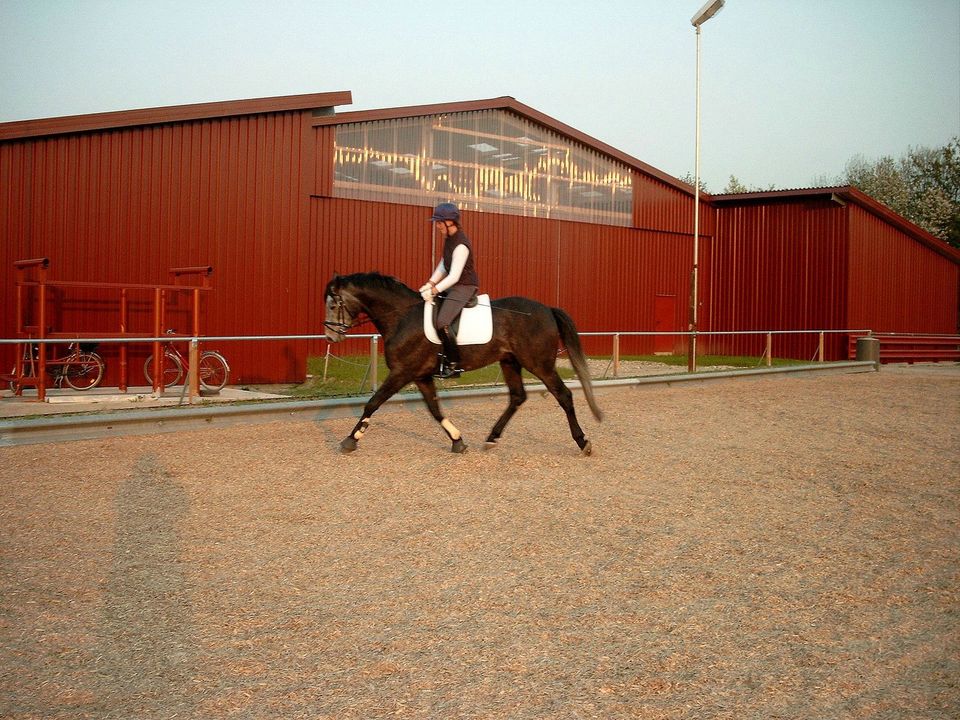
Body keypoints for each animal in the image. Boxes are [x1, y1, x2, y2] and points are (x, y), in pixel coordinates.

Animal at [326, 272, 604, 452]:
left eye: (332, 304)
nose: (330, 336)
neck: (402, 316)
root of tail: (547, 309)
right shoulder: (421, 375)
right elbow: (435, 410)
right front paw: (457, 441)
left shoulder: (402, 372)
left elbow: (373, 403)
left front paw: (351, 439)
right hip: (510, 362)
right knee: (517, 397)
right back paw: (492, 437)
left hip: (539, 364)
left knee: (563, 395)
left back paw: (583, 442)